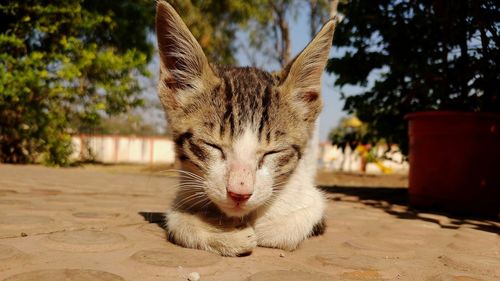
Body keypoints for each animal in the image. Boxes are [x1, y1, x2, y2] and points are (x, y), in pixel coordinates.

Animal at [155, 1, 336, 255]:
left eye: (273, 152)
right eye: (212, 145)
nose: (239, 193)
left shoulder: (311, 200)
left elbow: (300, 218)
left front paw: (264, 228)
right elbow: (177, 219)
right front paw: (223, 234)